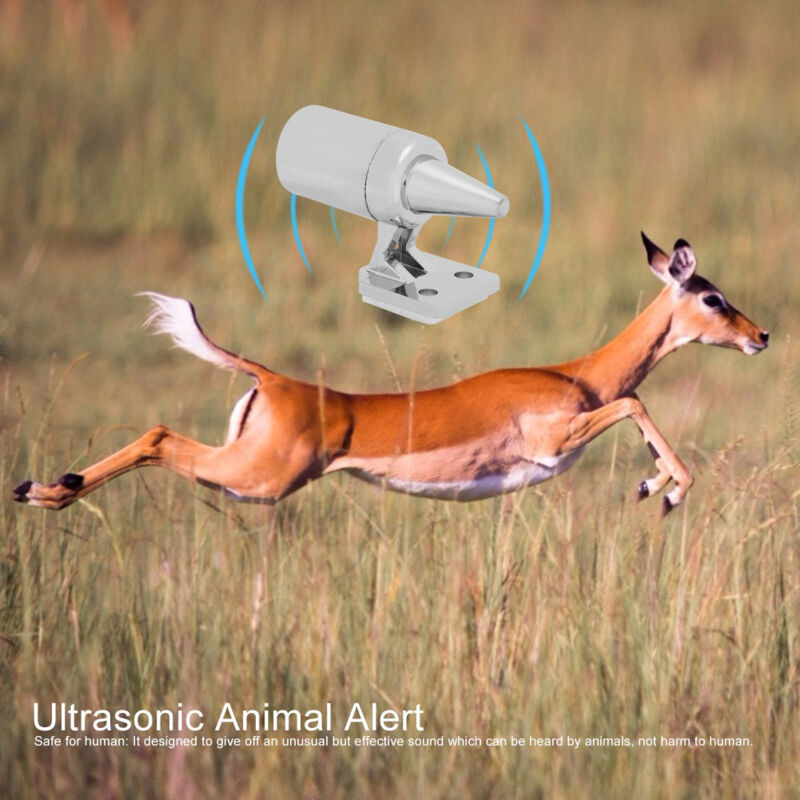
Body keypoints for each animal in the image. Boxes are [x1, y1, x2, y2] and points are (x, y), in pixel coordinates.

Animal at [12, 233, 768, 515]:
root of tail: (273, 379)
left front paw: (650, 484)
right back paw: (45, 493)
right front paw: (670, 490)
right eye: (712, 297)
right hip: (259, 480)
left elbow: (638, 412)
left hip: (242, 474)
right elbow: (636, 406)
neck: (575, 375)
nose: (761, 335)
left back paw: (41, 491)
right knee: (160, 435)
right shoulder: (556, 438)